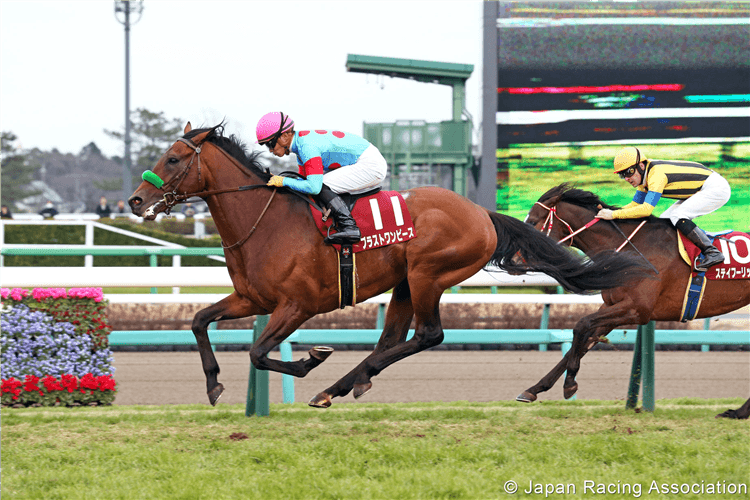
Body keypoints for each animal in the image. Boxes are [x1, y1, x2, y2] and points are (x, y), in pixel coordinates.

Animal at [128, 123, 648, 408]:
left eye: (173, 158)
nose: (135, 200)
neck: (266, 221)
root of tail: (482, 213)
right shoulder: (251, 298)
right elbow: (199, 321)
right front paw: (214, 385)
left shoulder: (297, 305)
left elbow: (258, 353)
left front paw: (310, 359)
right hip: (404, 282)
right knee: (394, 338)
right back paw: (344, 385)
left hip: (428, 274)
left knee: (428, 335)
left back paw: (338, 383)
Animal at [520, 184, 750, 418]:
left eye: (532, 222)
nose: (513, 257)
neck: (631, 252)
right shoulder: (613, 307)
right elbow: (584, 341)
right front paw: (533, 390)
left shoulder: (638, 310)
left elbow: (581, 325)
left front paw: (569, 384)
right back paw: (738, 412)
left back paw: (739, 412)